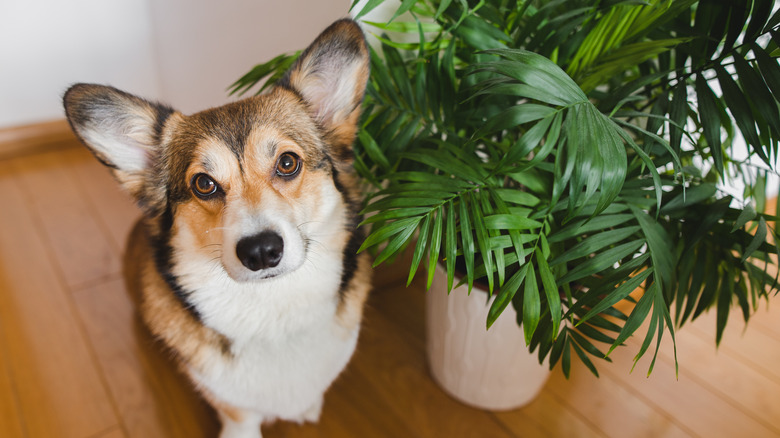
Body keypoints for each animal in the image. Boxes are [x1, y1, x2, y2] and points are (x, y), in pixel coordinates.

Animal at [62, 18, 374, 438]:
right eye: (203, 184)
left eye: (288, 163)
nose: (261, 251)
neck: (272, 313)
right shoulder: (234, 409)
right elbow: (240, 417)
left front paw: (308, 406)